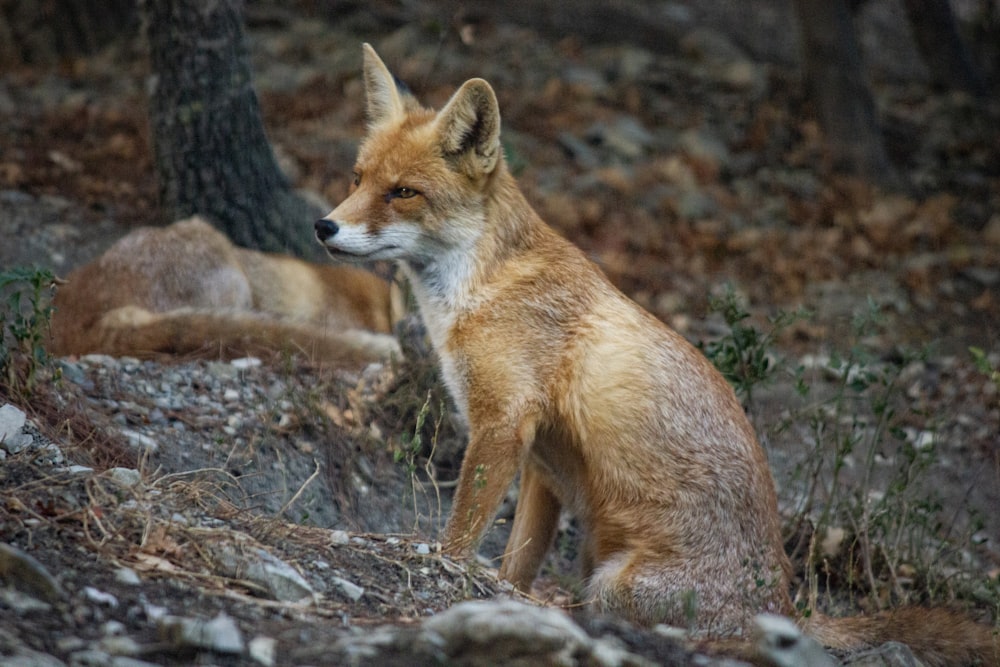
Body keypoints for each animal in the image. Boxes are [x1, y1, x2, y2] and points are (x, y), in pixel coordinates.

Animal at [314, 44, 1000, 664]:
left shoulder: (501, 425)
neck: (478, 288)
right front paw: (506, 600)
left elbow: (460, 537)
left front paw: (451, 576)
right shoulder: (540, 465)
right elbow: (517, 562)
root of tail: (783, 602)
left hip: (614, 586)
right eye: (357, 179)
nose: (324, 226)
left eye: (404, 192)